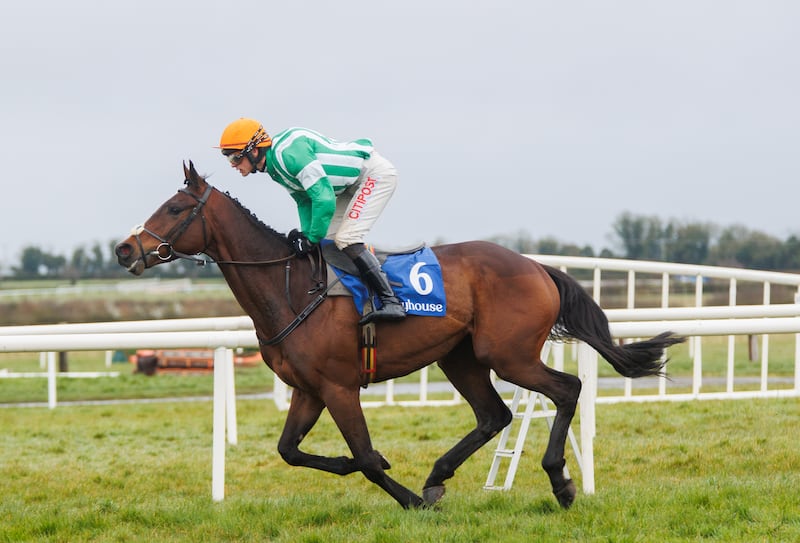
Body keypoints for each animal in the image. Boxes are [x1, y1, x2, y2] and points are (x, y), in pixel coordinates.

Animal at [117, 162, 680, 510]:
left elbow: (367, 457)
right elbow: (289, 451)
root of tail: (536, 266)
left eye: (174, 208)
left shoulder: (339, 387)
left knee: (566, 389)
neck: (292, 288)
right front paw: (381, 478)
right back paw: (437, 477)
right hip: (461, 357)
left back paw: (559, 481)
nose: (125, 250)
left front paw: (405, 497)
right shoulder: (308, 389)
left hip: (508, 353)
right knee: (494, 415)